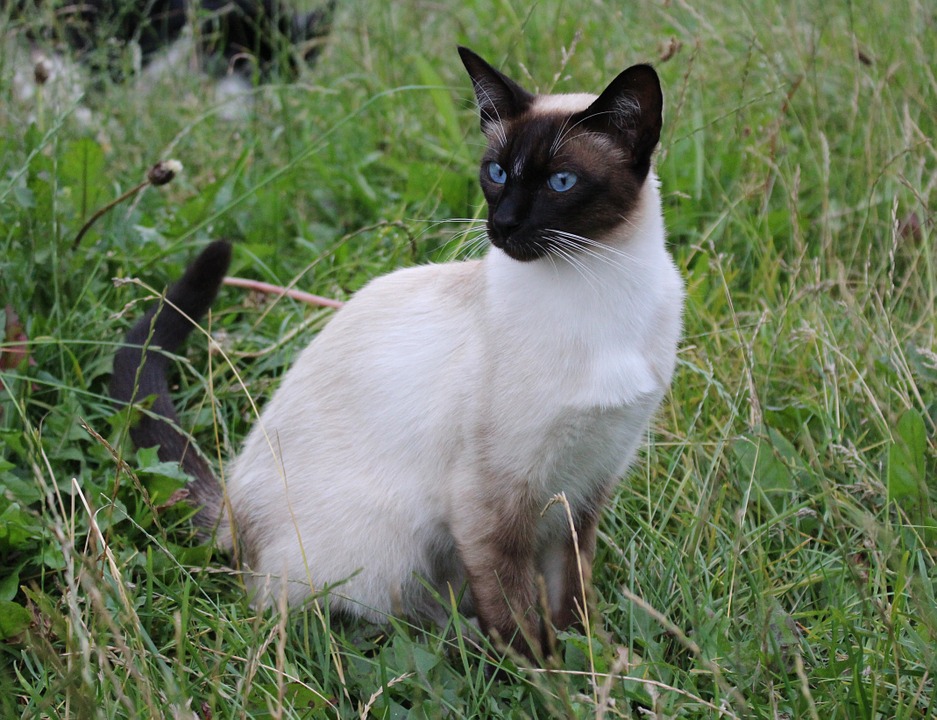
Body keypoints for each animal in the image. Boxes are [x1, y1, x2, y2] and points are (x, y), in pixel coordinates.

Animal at [113, 47, 684, 660]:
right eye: (497, 172)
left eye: (561, 182)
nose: (502, 225)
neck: (598, 286)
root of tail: (233, 515)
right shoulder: (493, 501)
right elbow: (518, 618)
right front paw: (546, 674)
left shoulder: (585, 486)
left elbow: (572, 600)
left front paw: (597, 662)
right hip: (390, 551)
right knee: (373, 618)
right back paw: (462, 644)